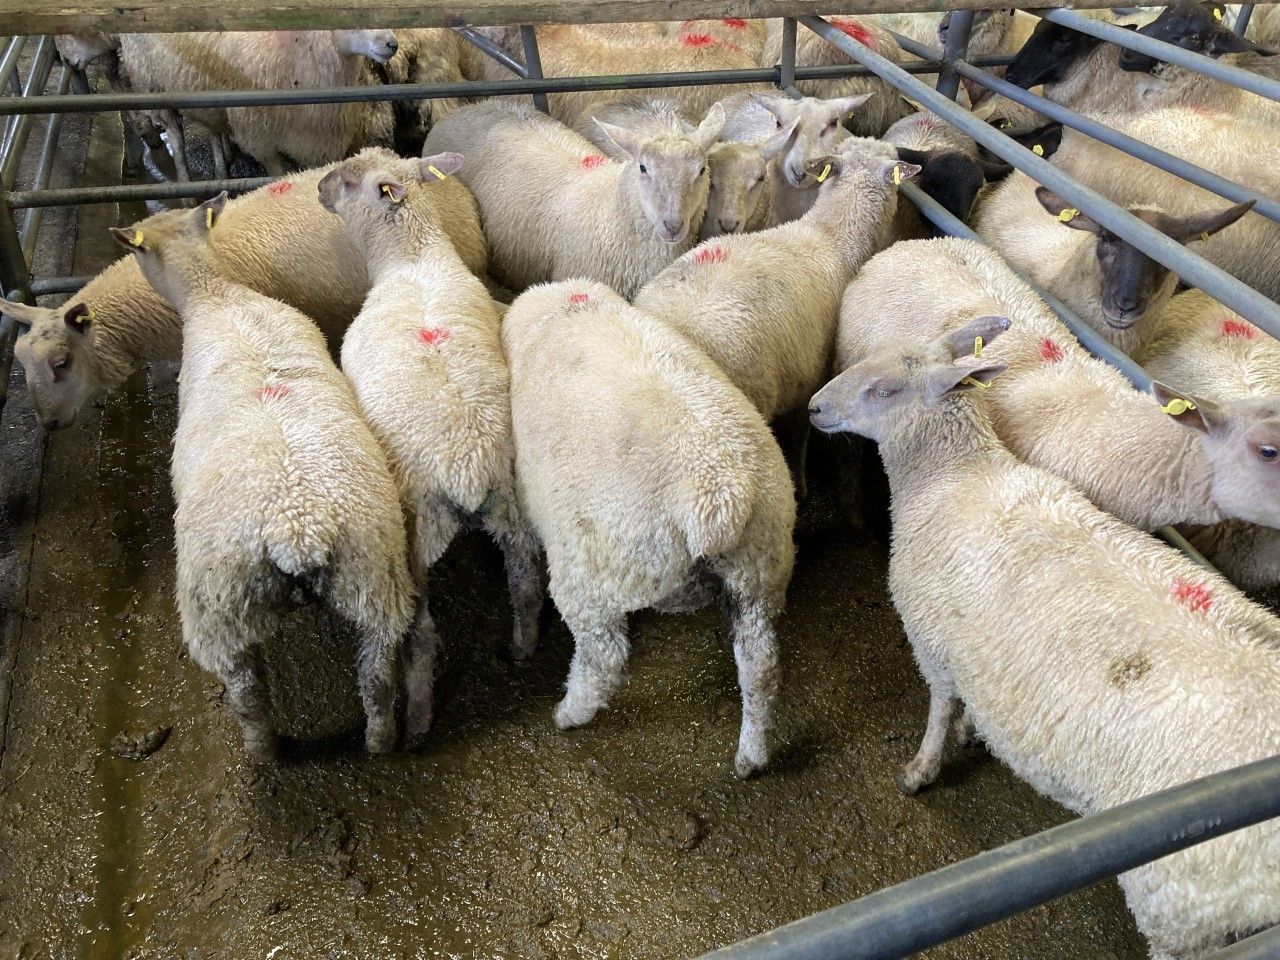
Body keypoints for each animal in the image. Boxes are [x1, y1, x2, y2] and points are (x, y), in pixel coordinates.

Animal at [108, 195, 417, 761]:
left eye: (139, 252)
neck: (216, 295)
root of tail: (297, 532)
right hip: (375, 581)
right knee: (378, 677)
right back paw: (380, 741)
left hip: (220, 613)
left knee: (248, 695)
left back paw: (262, 751)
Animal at [118, 30, 400, 176]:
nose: (392, 43)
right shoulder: (260, 139)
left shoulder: (316, 139)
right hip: (152, 85)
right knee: (176, 138)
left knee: (213, 128)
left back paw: (222, 167)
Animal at [317, 149, 542, 732]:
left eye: (350, 178)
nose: (319, 188)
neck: (414, 258)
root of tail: (470, 467)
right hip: (515, 509)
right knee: (527, 589)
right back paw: (522, 648)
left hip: (416, 533)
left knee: (422, 636)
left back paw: (417, 718)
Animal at [502, 279, 795, 778]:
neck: (564, 309)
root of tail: (719, 498)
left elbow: (522, 577)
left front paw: (523, 643)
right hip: (759, 570)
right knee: (761, 666)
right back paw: (751, 757)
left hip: (596, 574)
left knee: (603, 658)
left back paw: (570, 713)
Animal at [809, 315, 1280, 960]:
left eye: (883, 390)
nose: (813, 408)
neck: (954, 476)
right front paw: (972, 732)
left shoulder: (932, 642)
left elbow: (938, 709)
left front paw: (921, 770)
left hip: (1181, 905)